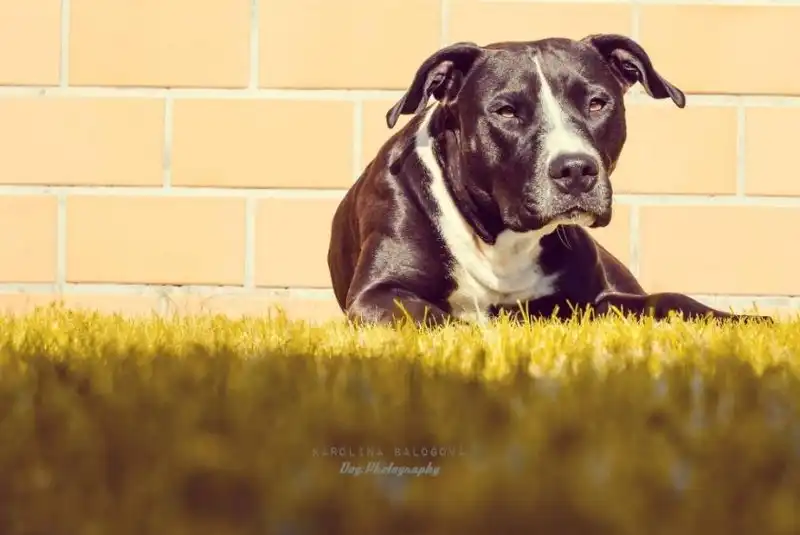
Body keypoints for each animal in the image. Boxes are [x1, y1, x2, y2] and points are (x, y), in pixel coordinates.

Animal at [327, 34, 772, 326]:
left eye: (597, 103)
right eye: (506, 111)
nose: (575, 169)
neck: (501, 237)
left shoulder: (594, 299)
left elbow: (669, 299)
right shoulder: (378, 294)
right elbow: (437, 317)